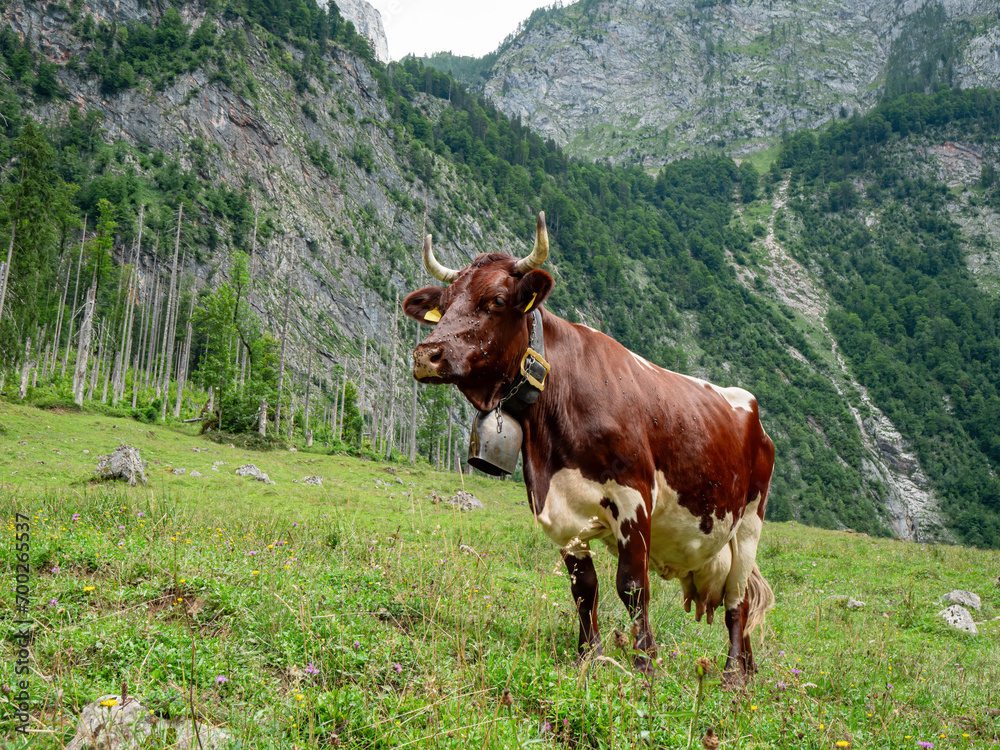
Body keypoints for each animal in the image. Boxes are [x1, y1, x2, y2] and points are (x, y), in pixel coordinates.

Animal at [403, 213, 775, 685]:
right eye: (447, 302)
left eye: (497, 300)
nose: (426, 355)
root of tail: (755, 416)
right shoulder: (558, 509)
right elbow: (584, 589)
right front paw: (588, 656)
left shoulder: (634, 500)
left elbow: (632, 588)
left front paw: (645, 662)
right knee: (738, 601)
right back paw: (749, 670)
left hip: (748, 524)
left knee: (737, 602)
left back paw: (731, 675)